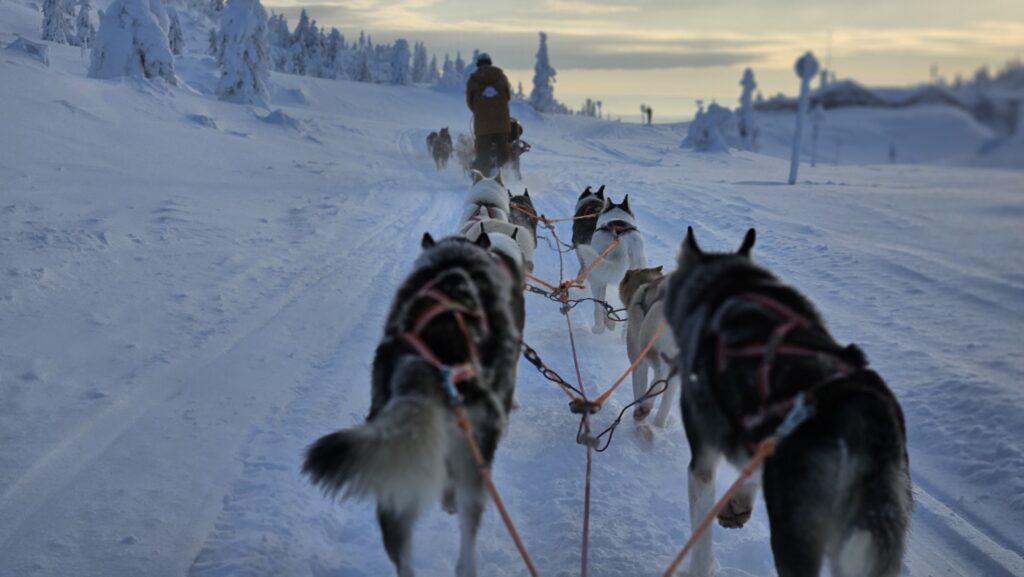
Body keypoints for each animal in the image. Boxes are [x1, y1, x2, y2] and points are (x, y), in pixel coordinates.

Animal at [614, 266, 679, 438]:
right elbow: (665, 406)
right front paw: (659, 425)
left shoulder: (638, 364)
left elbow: (639, 388)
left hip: (647, 344)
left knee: (658, 374)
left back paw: (645, 407)